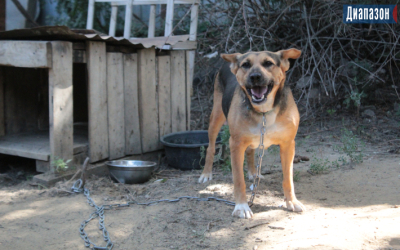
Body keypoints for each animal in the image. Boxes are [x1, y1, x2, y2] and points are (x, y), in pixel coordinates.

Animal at [198, 47, 304, 218]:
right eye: (245, 65)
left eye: (268, 63)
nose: (255, 77)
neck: (264, 112)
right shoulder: (236, 144)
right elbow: (238, 180)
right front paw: (241, 207)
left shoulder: (288, 144)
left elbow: (288, 178)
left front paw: (291, 202)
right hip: (216, 118)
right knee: (211, 148)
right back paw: (206, 173)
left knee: (251, 152)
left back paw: (254, 173)